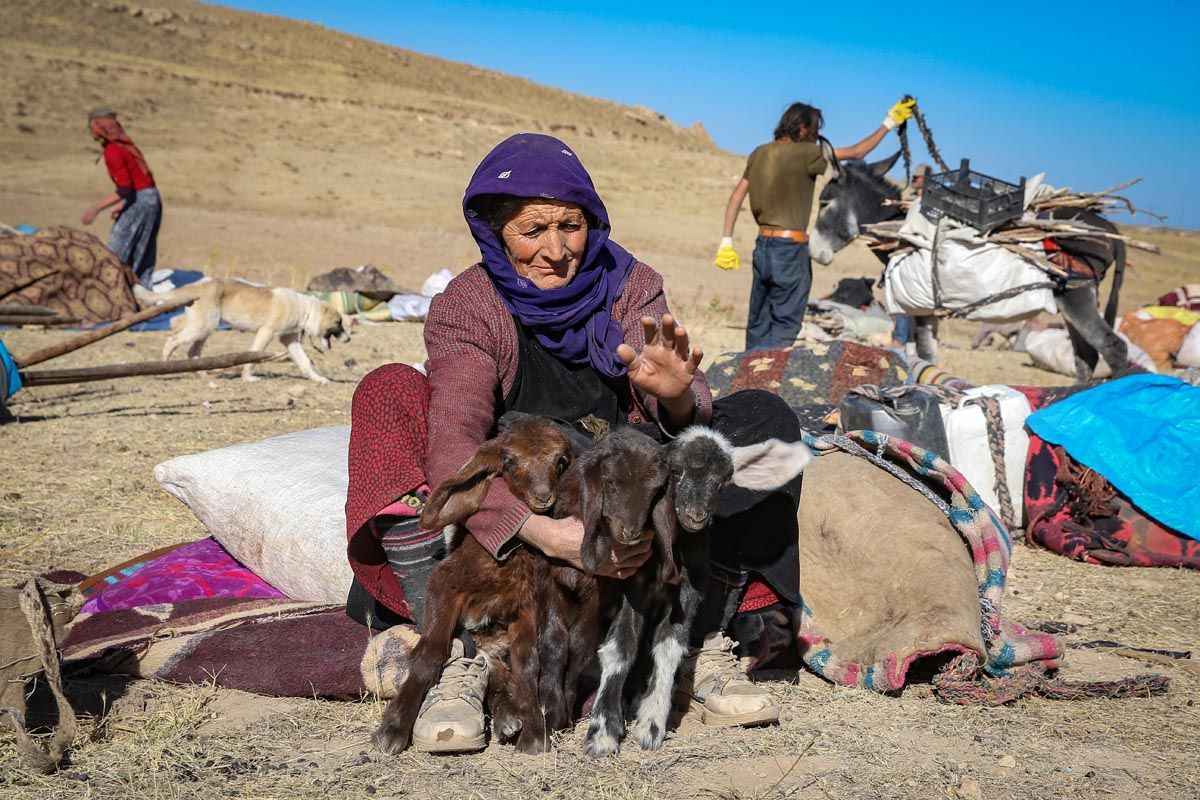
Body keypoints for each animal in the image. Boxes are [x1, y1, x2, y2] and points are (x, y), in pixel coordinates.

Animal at [134, 279, 352, 383]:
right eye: (338, 322)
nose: (349, 339)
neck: (305, 310)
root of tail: (199, 285)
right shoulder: (266, 332)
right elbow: (254, 355)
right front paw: (248, 377)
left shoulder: (290, 341)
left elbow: (305, 362)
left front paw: (319, 379)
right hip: (202, 326)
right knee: (172, 340)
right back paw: (164, 365)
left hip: (206, 328)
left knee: (192, 351)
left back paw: (202, 374)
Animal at [582, 427, 813, 757]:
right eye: (675, 471)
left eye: (723, 480)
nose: (696, 515)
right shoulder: (633, 584)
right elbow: (622, 645)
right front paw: (603, 732)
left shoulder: (690, 590)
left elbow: (669, 646)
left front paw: (651, 724)